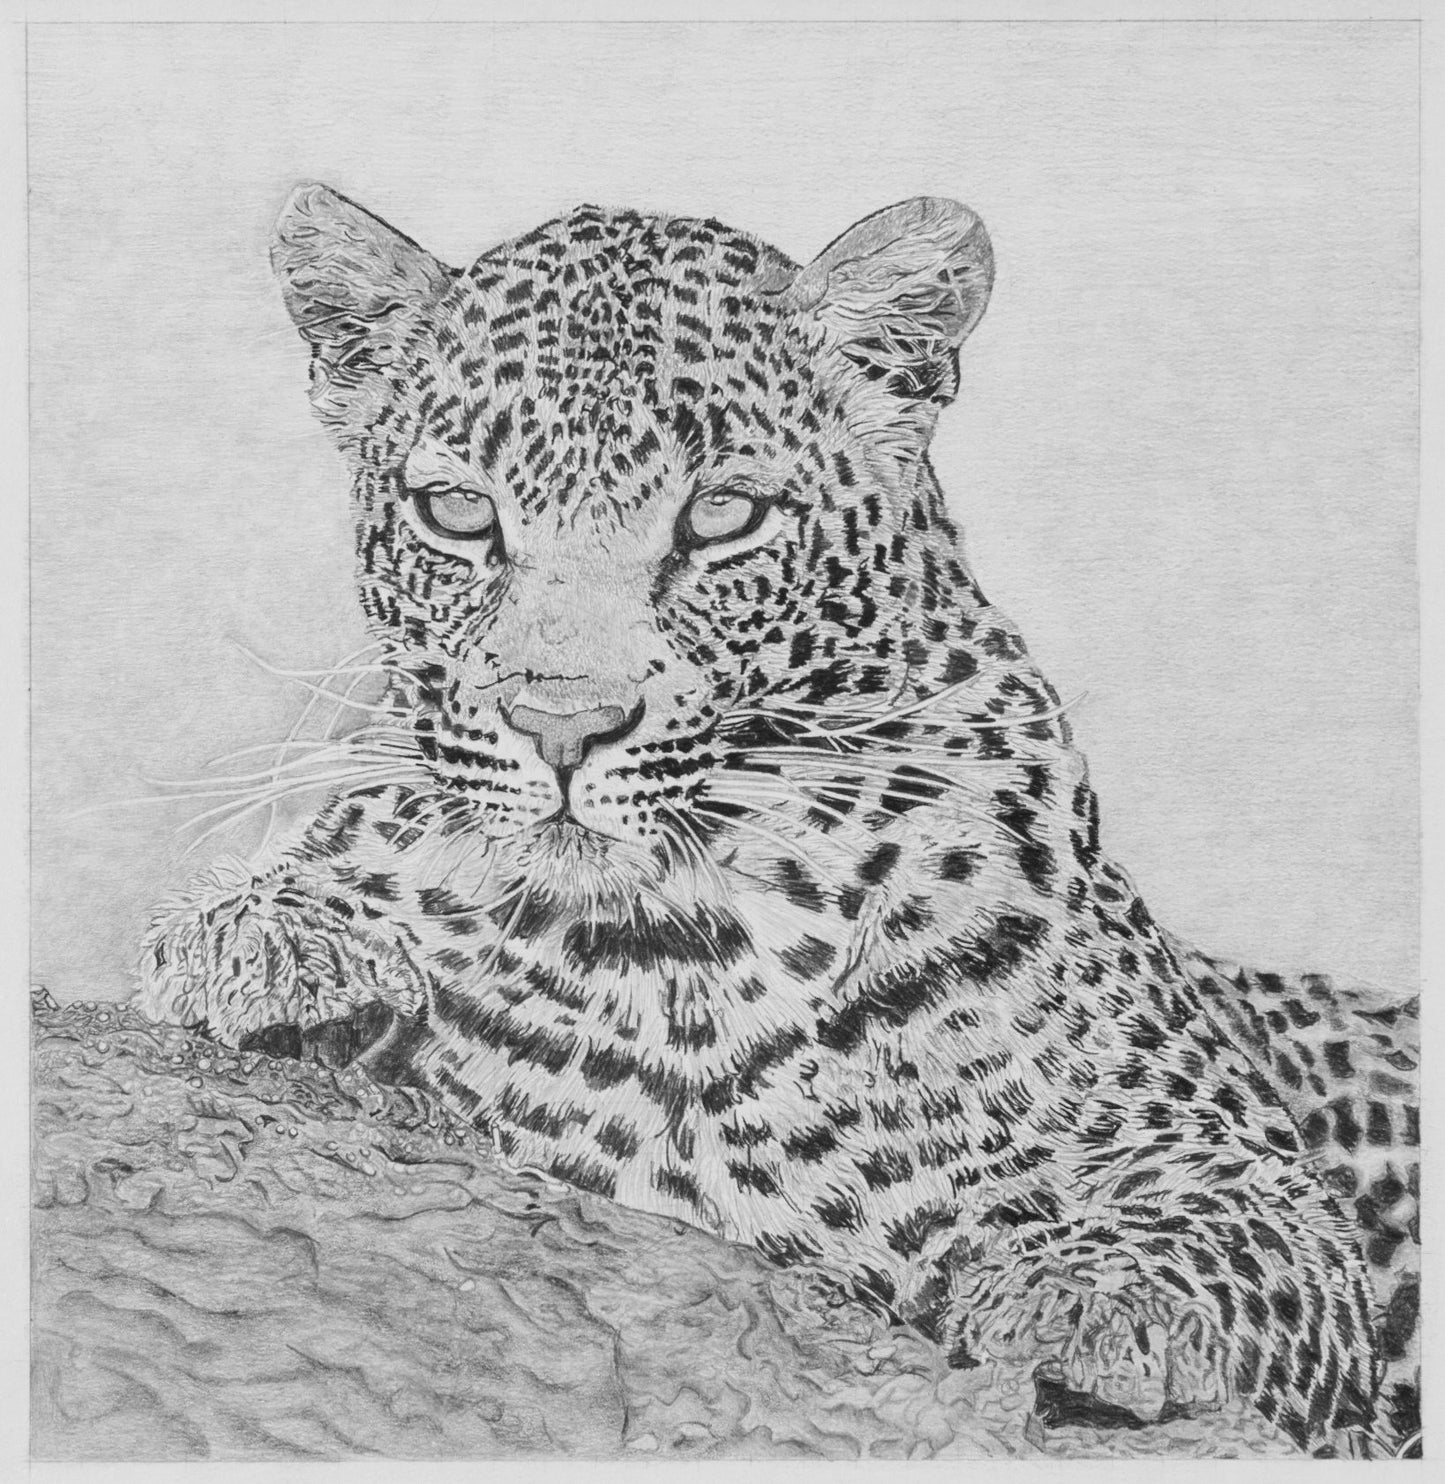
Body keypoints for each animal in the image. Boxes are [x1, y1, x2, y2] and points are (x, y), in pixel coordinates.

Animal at [139, 185, 1420, 1458]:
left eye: (721, 516)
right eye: (458, 511)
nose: (562, 724)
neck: (666, 955)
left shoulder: (1247, 1159)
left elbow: (1221, 1213)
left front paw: (1083, 1299)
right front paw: (269, 940)